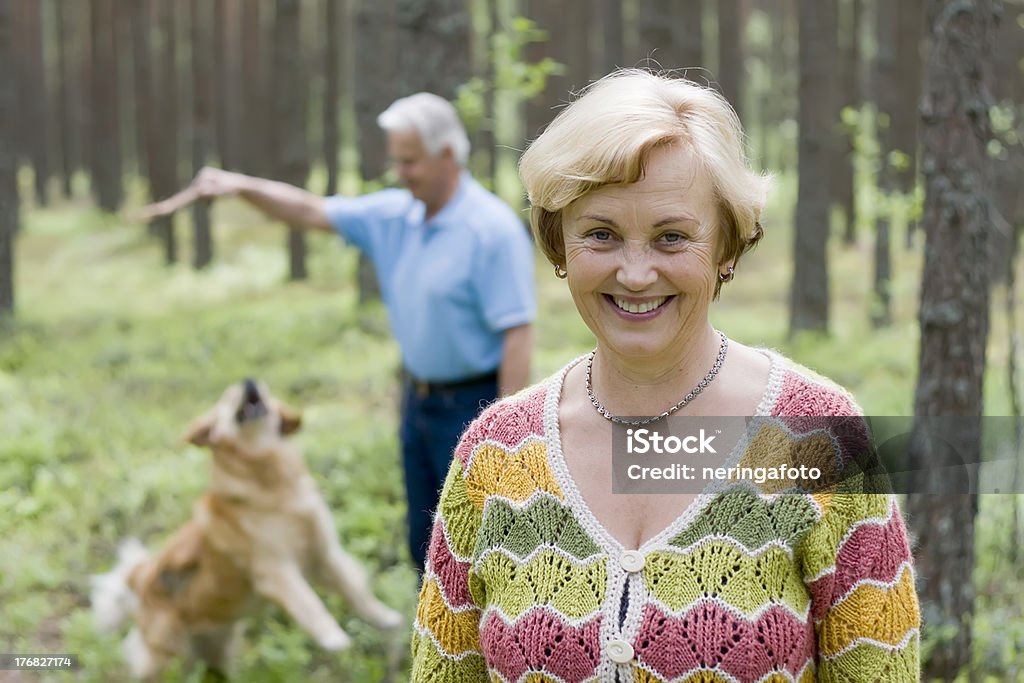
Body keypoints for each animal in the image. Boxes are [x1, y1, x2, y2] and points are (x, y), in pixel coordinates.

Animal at [91, 378, 403, 679]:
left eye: (263, 387)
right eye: (229, 396)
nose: (249, 382)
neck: (274, 488)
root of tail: (139, 577)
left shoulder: (324, 553)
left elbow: (356, 592)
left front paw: (386, 618)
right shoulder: (274, 569)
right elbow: (308, 602)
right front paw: (333, 638)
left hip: (217, 647)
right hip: (165, 658)